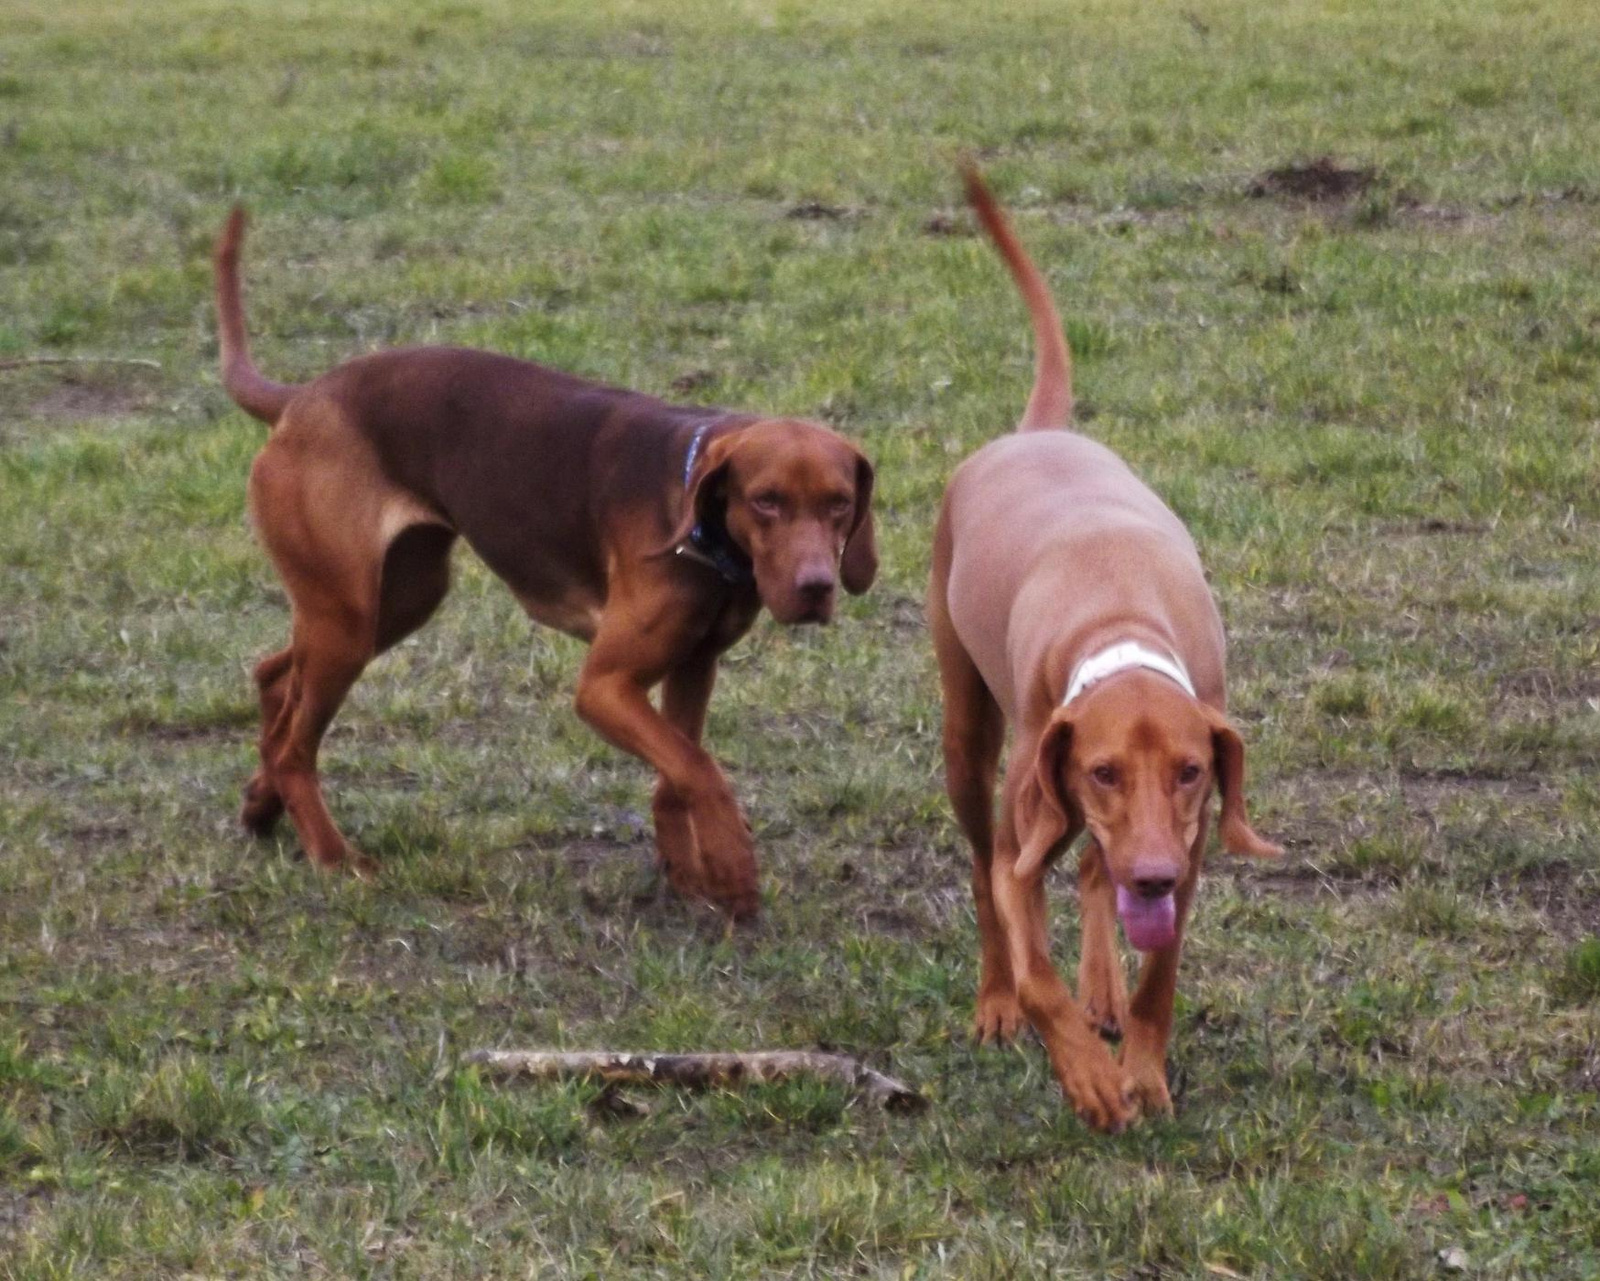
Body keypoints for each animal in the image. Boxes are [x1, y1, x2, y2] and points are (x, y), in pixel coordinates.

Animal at [212, 207, 876, 921]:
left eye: (840, 504)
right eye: (766, 501)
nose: (817, 587)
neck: (701, 531)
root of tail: (302, 398)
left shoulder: (694, 665)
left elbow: (678, 770)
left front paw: (686, 874)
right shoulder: (604, 687)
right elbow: (698, 769)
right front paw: (731, 869)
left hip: (395, 598)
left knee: (275, 680)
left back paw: (262, 806)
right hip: (348, 619)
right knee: (294, 743)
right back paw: (335, 858)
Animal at [928, 167, 1273, 1132]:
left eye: (1192, 771)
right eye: (1103, 770)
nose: (1149, 877)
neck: (1121, 623)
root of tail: (1035, 432)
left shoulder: (1188, 849)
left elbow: (1160, 975)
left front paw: (1141, 1067)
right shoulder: (1035, 834)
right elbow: (1034, 964)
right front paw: (1085, 1073)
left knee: (1089, 869)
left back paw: (1104, 988)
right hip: (968, 740)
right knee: (986, 879)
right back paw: (994, 1000)